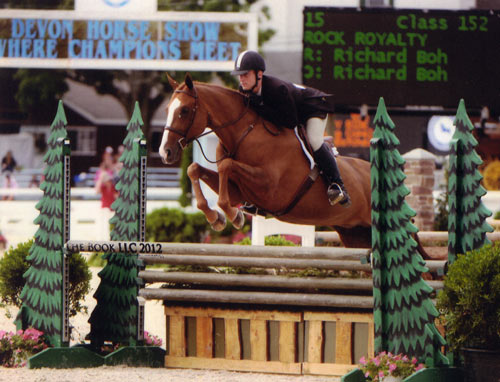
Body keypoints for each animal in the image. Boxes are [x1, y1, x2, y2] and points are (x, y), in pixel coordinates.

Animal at [159, 74, 376, 248]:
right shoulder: (239, 190)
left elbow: (226, 166)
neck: (244, 134)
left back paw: (337, 190)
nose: (165, 152)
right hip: (355, 233)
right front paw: (217, 218)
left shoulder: (270, 188)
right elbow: (194, 169)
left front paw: (234, 216)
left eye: (184, 110)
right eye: (168, 109)